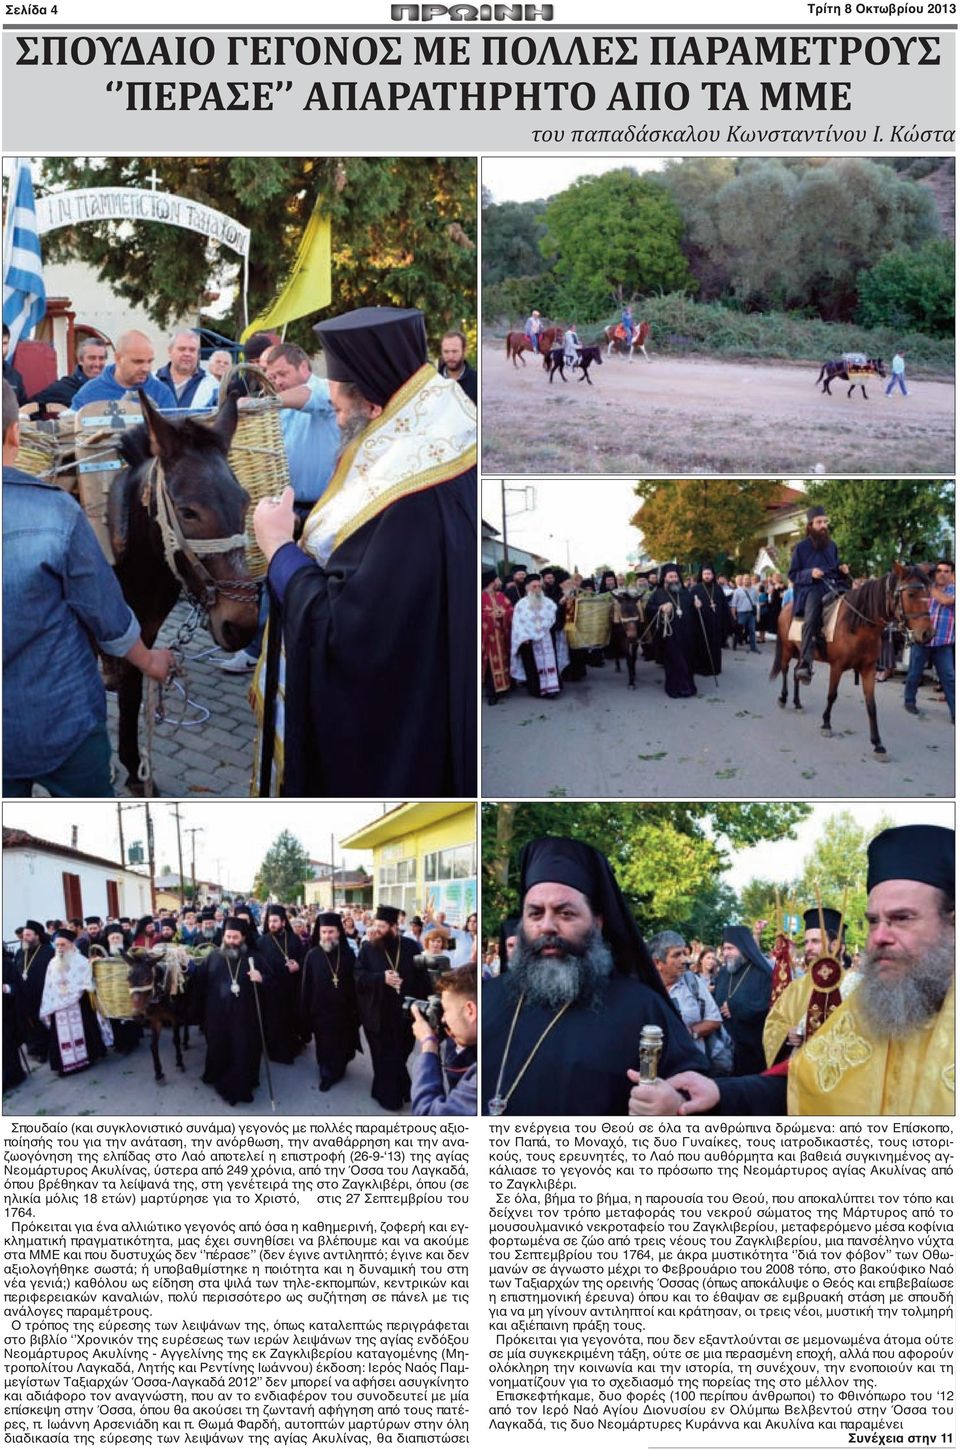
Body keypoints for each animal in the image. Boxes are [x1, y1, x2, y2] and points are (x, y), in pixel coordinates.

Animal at [777, 559, 933, 754]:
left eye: (929, 594)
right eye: (911, 594)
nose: (927, 634)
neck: (857, 624)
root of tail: (787, 607)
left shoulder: (868, 670)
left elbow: (871, 704)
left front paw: (877, 743)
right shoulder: (836, 667)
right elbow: (832, 695)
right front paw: (826, 725)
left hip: (801, 653)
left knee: (797, 673)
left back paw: (797, 703)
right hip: (787, 649)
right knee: (785, 670)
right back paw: (783, 698)